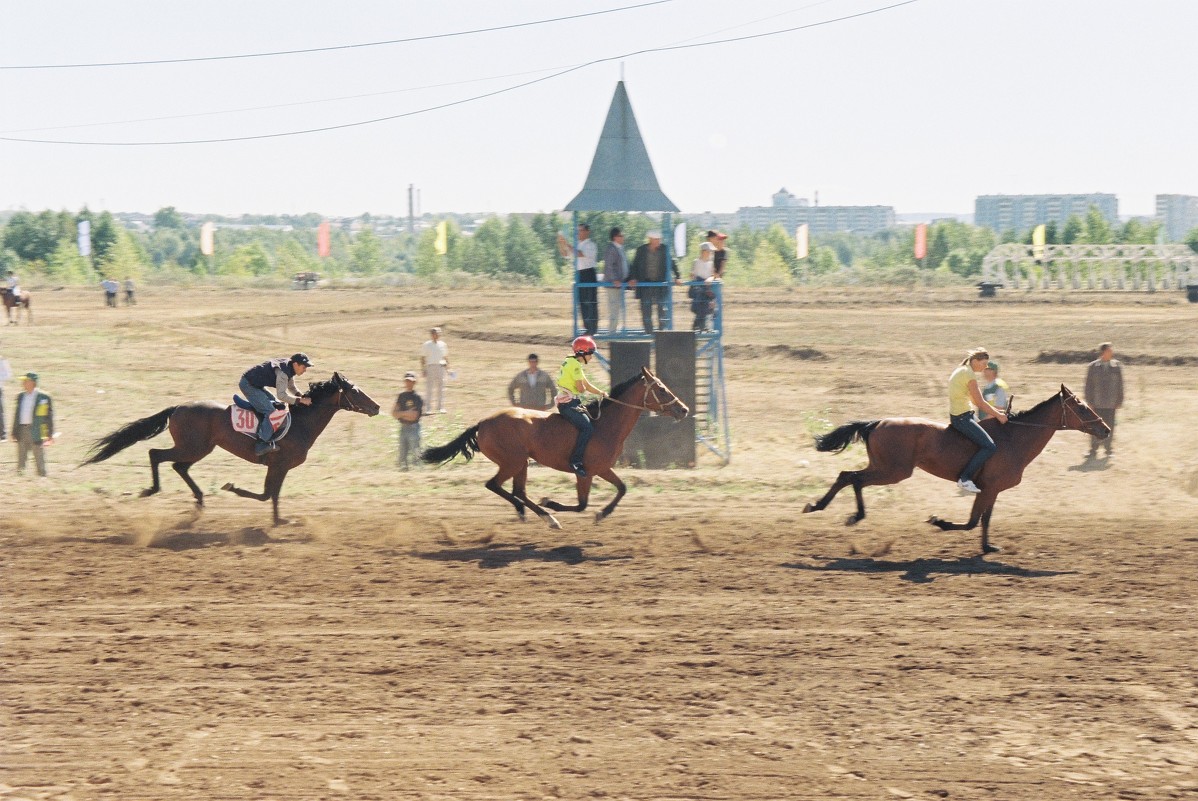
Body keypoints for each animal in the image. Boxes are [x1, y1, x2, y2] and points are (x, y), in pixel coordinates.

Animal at [83, 373, 378, 524]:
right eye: (356, 391)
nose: (376, 407)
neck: (301, 423)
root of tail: (177, 408)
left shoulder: (276, 466)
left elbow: (268, 495)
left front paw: (275, 518)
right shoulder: (279, 464)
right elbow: (269, 494)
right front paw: (238, 491)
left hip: (200, 448)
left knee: (179, 466)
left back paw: (200, 499)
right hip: (192, 447)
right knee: (156, 455)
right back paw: (152, 490)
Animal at [421, 366, 690, 526]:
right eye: (662, 390)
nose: (684, 409)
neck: (604, 425)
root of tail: (482, 423)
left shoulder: (602, 469)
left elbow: (622, 488)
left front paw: (602, 513)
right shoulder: (585, 472)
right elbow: (581, 505)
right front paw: (551, 502)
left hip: (521, 463)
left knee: (518, 491)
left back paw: (539, 515)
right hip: (512, 462)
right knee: (495, 485)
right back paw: (538, 513)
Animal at [805, 383, 1111, 553]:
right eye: (1081, 407)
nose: (1106, 429)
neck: (1014, 437)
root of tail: (877, 423)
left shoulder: (992, 490)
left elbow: (984, 520)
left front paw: (987, 547)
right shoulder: (989, 488)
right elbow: (972, 521)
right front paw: (938, 521)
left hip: (884, 467)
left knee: (849, 477)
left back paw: (824, 507)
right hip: (893, 471)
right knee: (852, 477)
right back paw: (843, 513)